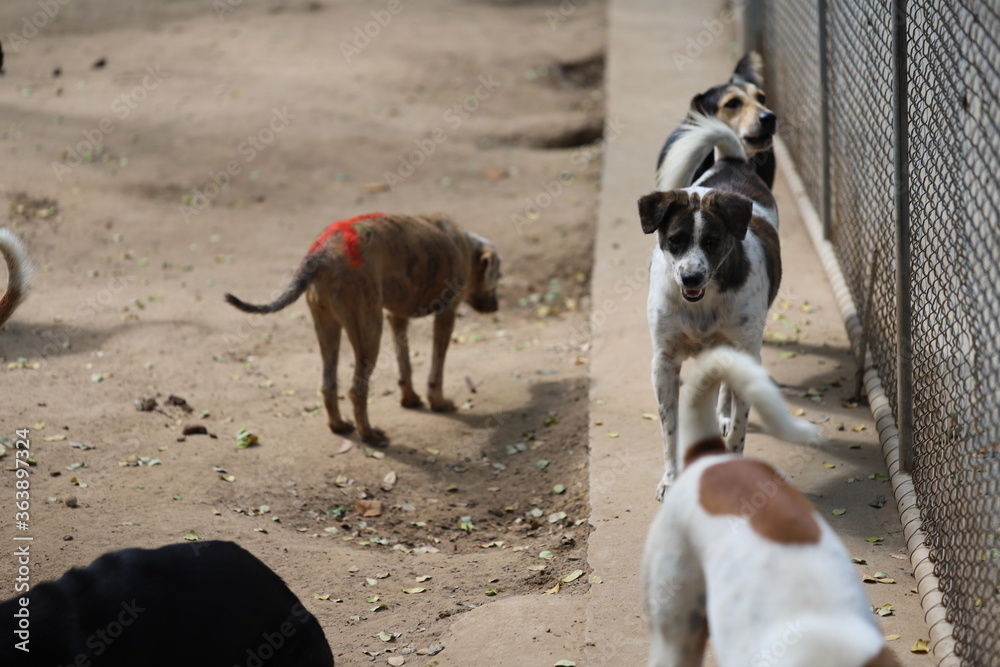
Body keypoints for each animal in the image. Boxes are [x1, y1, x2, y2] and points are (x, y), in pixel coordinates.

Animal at [226, 211, 500, 446]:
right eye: (499, 277)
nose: (496, 307)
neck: (464, 244)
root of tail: (321, 252)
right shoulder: (446, 316)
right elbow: (436, 371)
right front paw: (438, 402)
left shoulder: (396, 318)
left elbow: (405, 367)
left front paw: (410, 399)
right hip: (369, 330)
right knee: (356, 390)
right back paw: (369, 434)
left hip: (328, 327)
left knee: (328, 385)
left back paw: (339, 426)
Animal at [640, 112, 780, 498]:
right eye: (675, 240)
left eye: (713, 241)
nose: (690, 278)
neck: (703, 303)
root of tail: (730, 163)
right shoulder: (664, 364)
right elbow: (669, 430)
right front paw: (671, 478)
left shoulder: (746, 354)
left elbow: (739, 427)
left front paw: (733, 463)